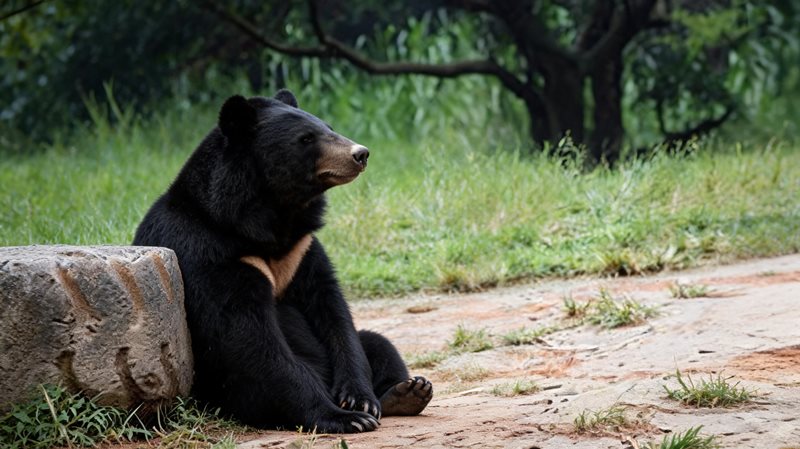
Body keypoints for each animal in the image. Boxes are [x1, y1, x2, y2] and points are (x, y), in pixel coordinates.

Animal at [132, 90, 432, 433]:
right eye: (307, 138)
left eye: (329, 127)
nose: (361, 153)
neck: (271, 218)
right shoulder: (208, 255)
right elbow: (250, 340)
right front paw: (345, 417)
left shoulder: (301, 250)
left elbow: (333, 312)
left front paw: (359, 400)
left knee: (376, 342)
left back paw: (406, 392)